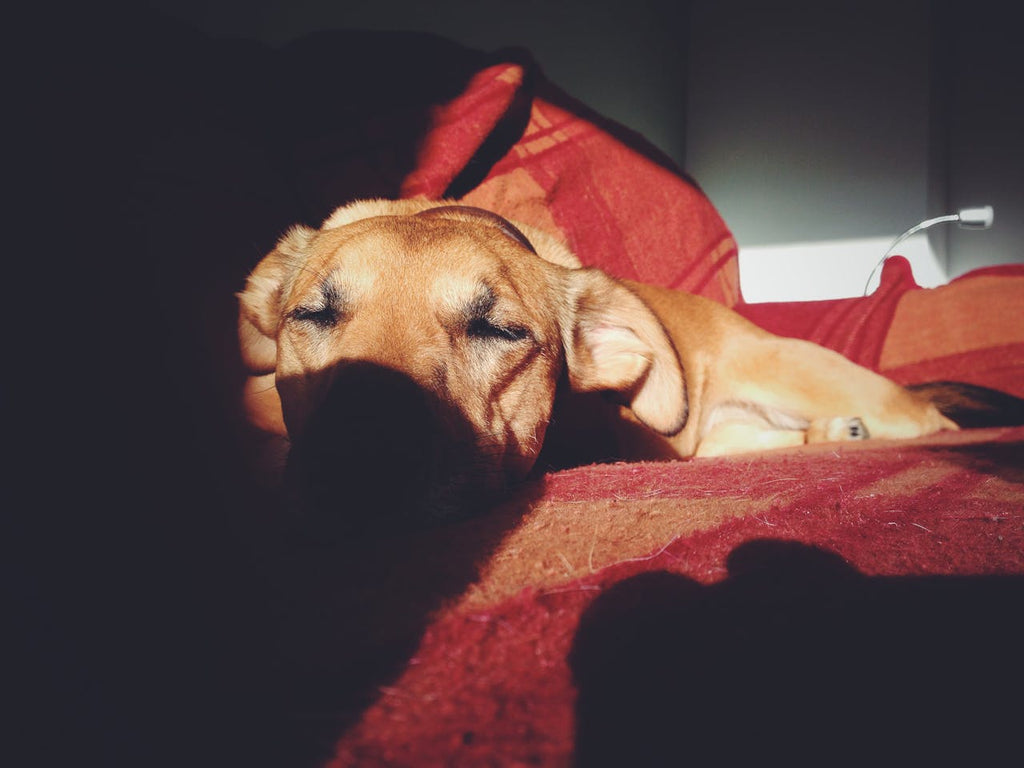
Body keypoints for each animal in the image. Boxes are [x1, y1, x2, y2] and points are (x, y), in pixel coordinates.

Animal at [239, 198, 1007, 524]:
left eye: (501, 330)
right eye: (311, 315)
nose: (358, 458)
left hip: (814, 378)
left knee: (933, 422)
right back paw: (831, 434)